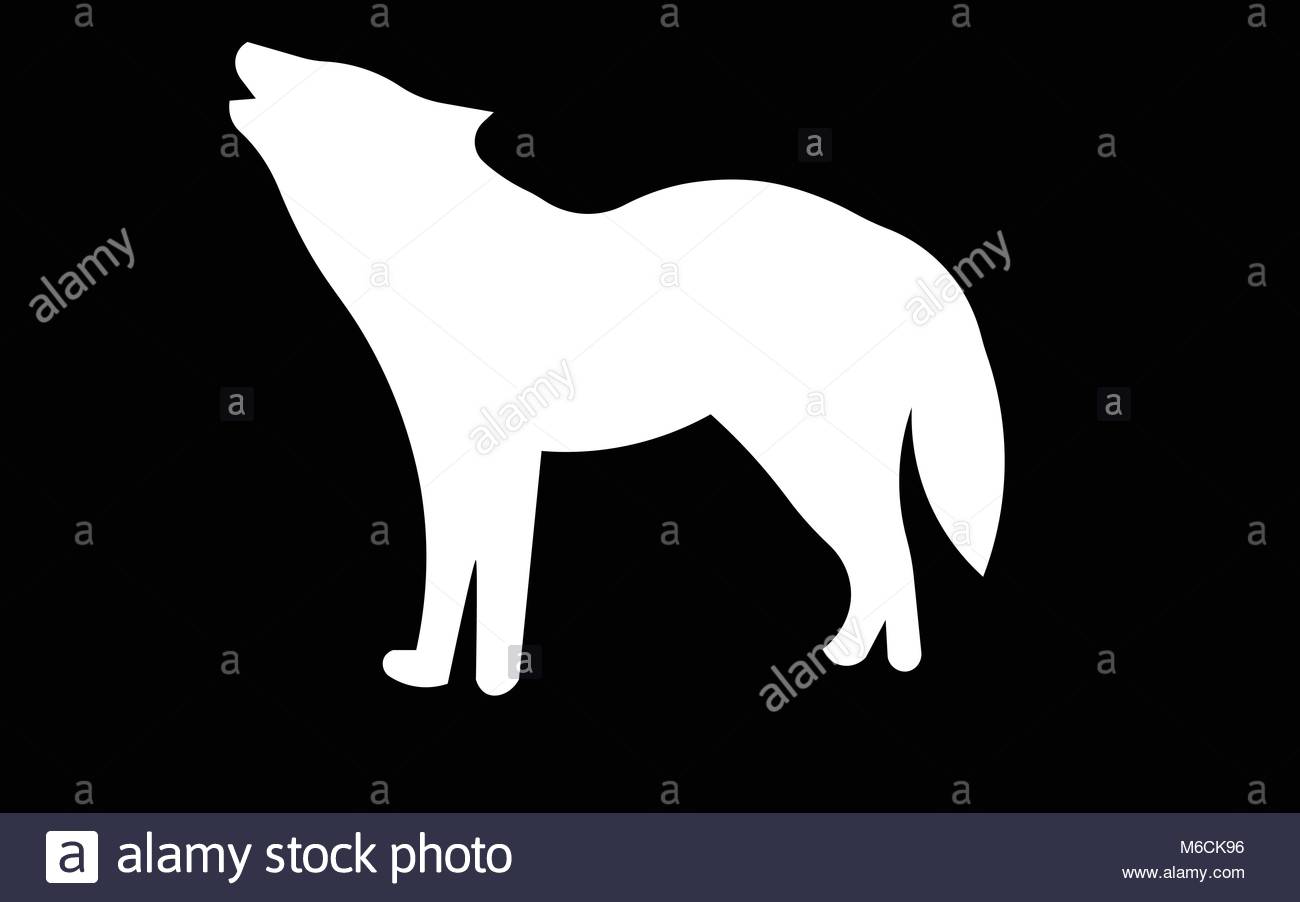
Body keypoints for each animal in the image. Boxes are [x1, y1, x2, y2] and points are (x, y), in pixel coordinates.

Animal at [230, 43, 1005, 695]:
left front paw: (492, 685)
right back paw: (852, 657)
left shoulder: (509, 460)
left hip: (809, 455)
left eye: (325, 76)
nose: (248, 44)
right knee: (881, 558)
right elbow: (452, 573)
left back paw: (890, 665)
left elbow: (498, 573)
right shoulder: (451, 462)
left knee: (892, 552)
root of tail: (905, 248)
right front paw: (428, 674)